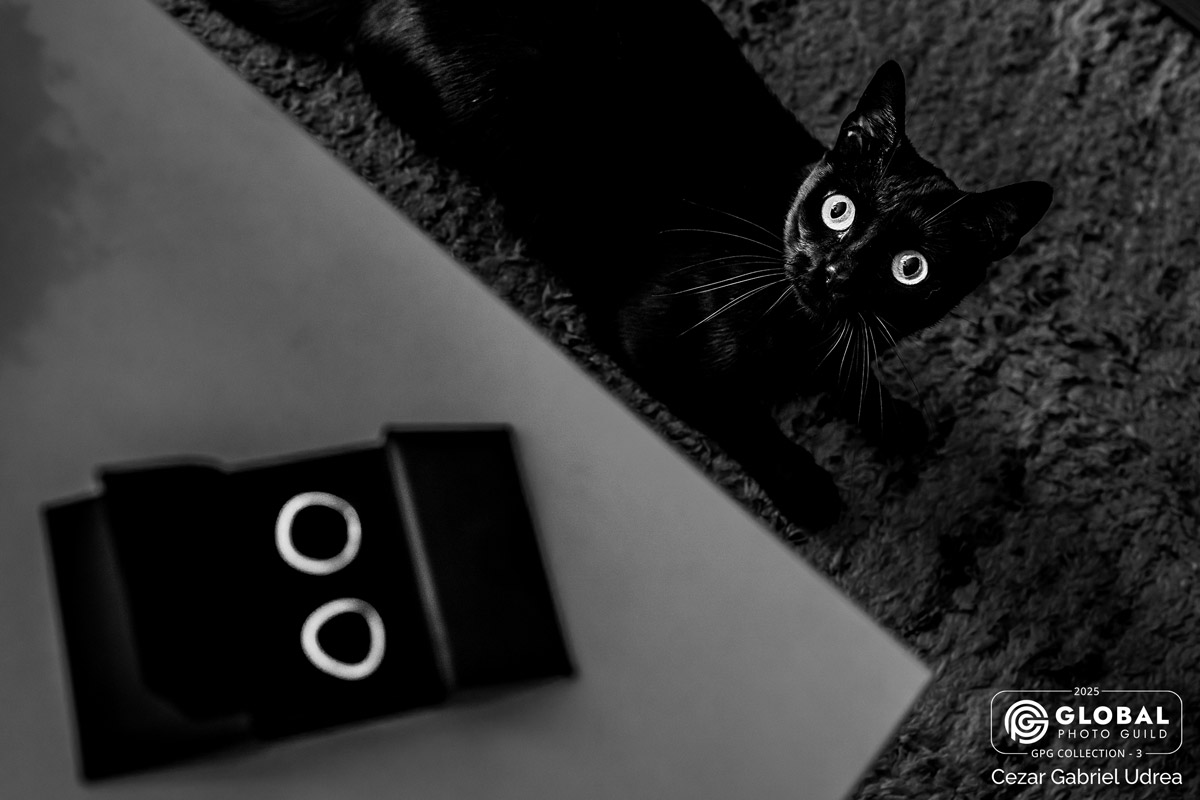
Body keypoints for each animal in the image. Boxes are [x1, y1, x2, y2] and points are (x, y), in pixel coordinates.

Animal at [209, 0, 1053, 529]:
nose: (832, 270)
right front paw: (809, 483)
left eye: (911, 269)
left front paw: (894, 413)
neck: (792, 320)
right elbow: (738, 409)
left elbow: (850, 368)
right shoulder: (651, 334)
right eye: (839, 209)